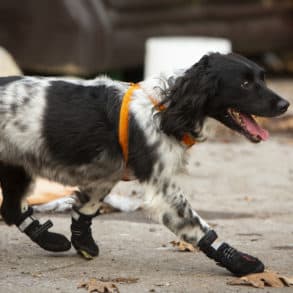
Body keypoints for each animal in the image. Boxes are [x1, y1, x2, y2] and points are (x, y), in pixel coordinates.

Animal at [0, 53, 288, 276]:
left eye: (262, 78)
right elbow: (198, 228)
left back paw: (49, 239)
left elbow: (86, 208)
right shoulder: (164, 189)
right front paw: (239, 261)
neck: (166, 107)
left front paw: (83, 242)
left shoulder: (104, 174)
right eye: (245, 83)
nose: (285, 104)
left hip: (16, 167)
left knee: (11, 209)